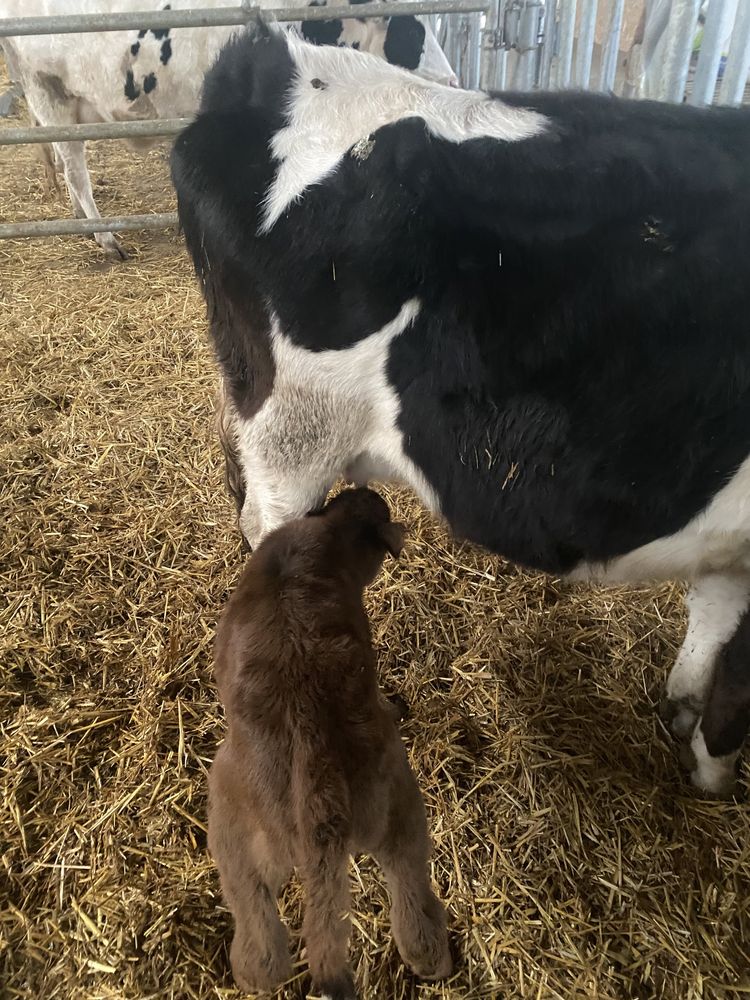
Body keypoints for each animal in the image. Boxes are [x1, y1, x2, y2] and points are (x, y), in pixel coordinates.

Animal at [172, 23, 750, 796]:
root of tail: (270, 57)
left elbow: (712, 619)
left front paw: (681, 714)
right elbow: (737, 681)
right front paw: (712, 779)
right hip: (294, 435)